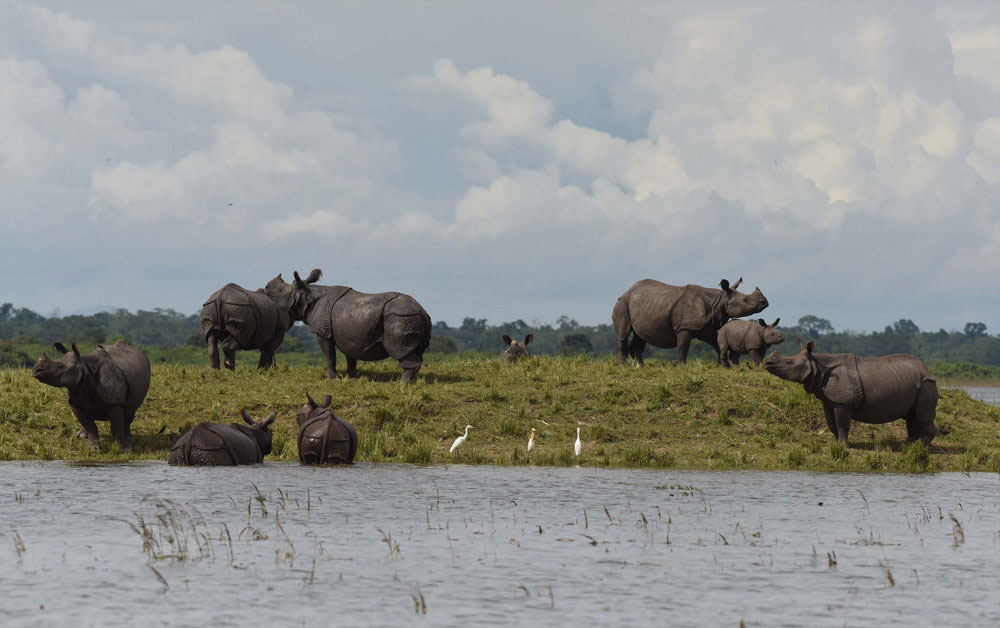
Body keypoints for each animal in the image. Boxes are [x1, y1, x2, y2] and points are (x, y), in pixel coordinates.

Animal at [264, 268, 432, 382]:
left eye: (280, 290)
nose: (265, 287)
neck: (307, 295)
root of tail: (421, 310)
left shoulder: (323, 331)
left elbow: (329, 354)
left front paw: (330, 377)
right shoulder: (350, 334)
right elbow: (351, 355)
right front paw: (352, 376)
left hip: (399, 317)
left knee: (399, 348)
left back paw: (401, 383)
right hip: (410, 318)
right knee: (415, 349)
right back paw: (411, 381)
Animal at [612, 278, 768, 366]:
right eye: (745, 300)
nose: (764, 302)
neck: (719, 300)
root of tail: (628, 290)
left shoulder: (708, 329)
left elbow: (717, 344)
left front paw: (722, 365)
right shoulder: (685, 327)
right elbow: (683, 347)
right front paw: (682, 366)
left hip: (643, 305)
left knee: (640, 336)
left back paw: (641, 366)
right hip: (622, 303)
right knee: (624, 333)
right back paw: (623, 365)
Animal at [760, 338, 940, 446]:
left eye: (788, 362)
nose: (767, 363)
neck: (817, 364)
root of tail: (927, 369)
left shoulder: (842, 402)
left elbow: (842, 423)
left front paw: (842, 446)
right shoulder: (828, 400)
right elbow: (831, 423)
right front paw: (836, 444)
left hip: (927, 383)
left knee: (922, 415)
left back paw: (921, 446)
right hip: (914, 382)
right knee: (911, 416)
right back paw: (909, 445)